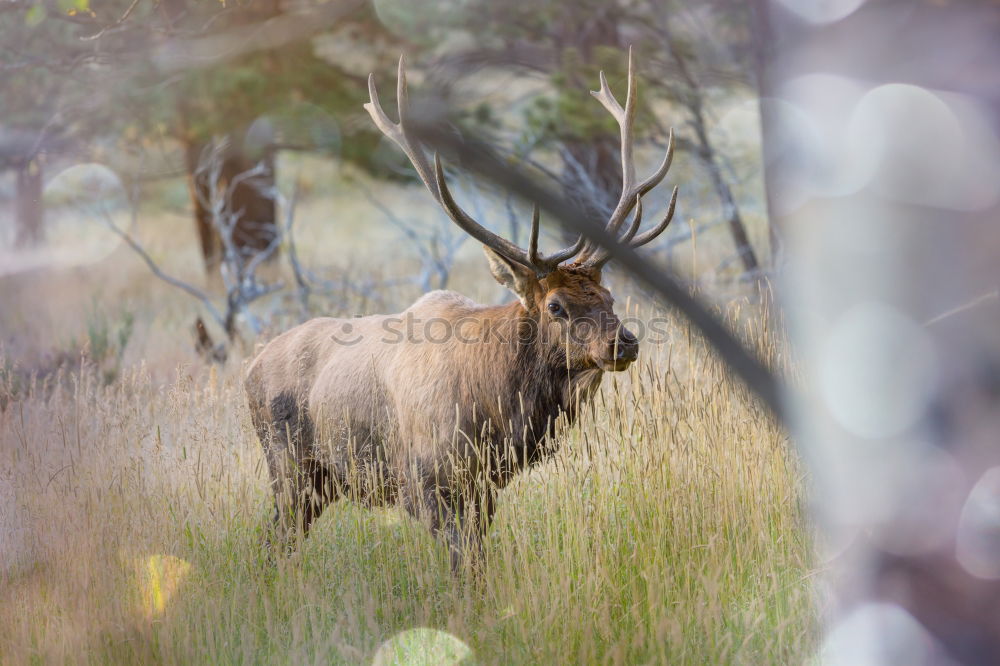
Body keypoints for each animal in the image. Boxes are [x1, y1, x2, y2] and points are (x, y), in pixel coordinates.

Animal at [244, 50, 680, 572]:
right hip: (289, 466)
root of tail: (248, 368)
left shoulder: (485, 486)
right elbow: (464, 567)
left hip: (321, 482)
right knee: (275, 538)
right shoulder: (425, 481)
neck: (499, 409)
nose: (624, 343)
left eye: (610, 296)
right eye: (556, 305)